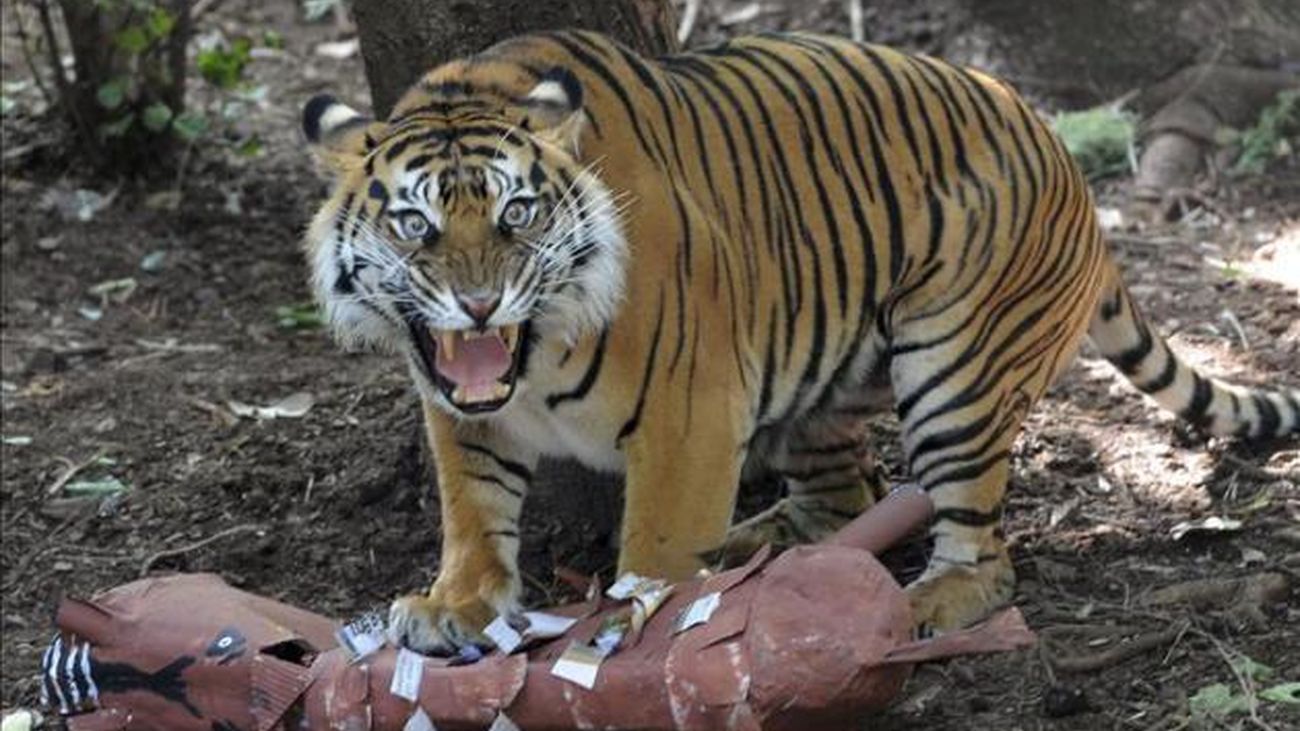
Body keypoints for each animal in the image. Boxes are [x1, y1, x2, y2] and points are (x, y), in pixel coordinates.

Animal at [301, 30, 1300, 654]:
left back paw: (926, 599)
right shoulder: (461, 408)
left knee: (981, 549)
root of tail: (1059, 150)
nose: (477, 305)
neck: (533, 354)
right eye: (415, 226)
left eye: (517, 215)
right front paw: (457, 607)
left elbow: (654, 543)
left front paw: (628, 633)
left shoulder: (690, 411)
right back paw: (762, 549)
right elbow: (472, 512)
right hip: (817, 388)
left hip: (954, 372)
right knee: (843, 494)